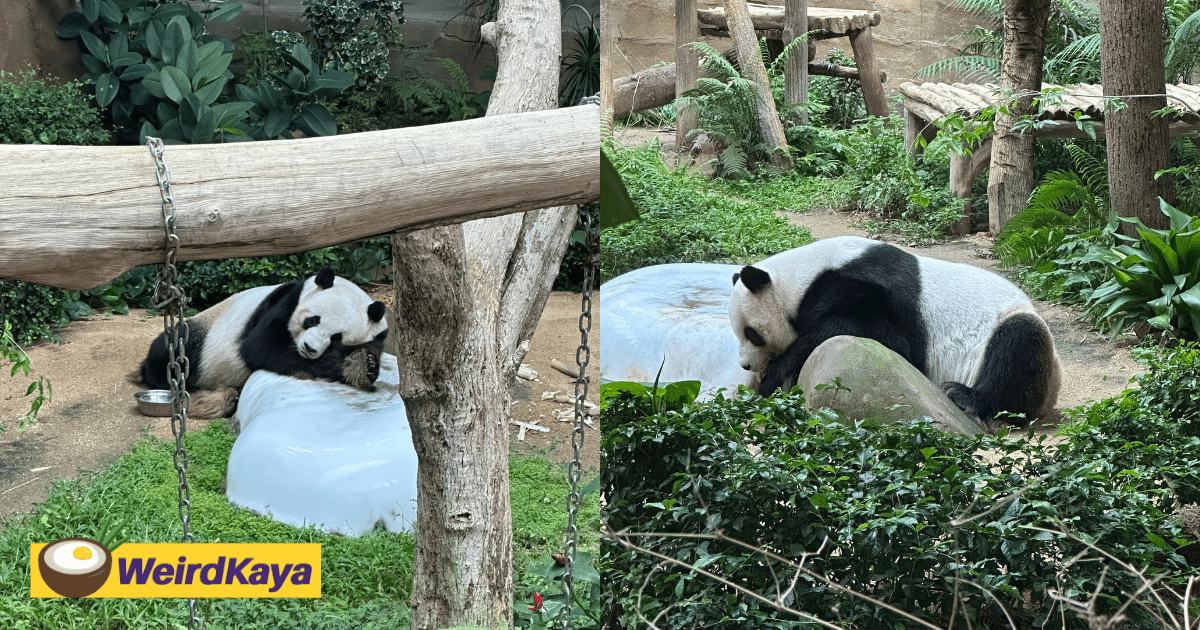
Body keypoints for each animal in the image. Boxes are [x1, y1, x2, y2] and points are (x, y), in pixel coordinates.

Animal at [134, 268, 389, 419]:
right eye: (313, 319)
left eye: (337, 336)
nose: (309, 348)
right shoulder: (287, 301)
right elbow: (262, 346)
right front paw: (345, 364)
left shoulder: (379, 333)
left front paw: (363, 365)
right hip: (204, 332)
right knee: (173, 348)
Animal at [729, 236, 1062, 423]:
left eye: (752, 333)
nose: (745, 365)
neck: (802, 277)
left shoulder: (870, 288)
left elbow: (881, 334)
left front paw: (776, 374)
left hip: (1012, 331)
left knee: (1019, 345)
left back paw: (966, 397)